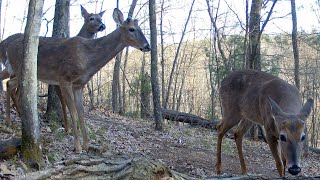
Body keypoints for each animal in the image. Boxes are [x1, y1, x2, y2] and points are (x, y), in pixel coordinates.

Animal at [5, 7, 150, 153]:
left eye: (140, 28)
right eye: (132, 29)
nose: (148, 46)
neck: (88, 59)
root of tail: (8, 46)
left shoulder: (79, 85)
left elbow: (81, 112)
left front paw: (86, 144)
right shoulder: (64, 78)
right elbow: (73, 111)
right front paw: (77, 146)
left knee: (9, 84)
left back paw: (11, 121)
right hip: (21, 69)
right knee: (14, 88)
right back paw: (12, 121)